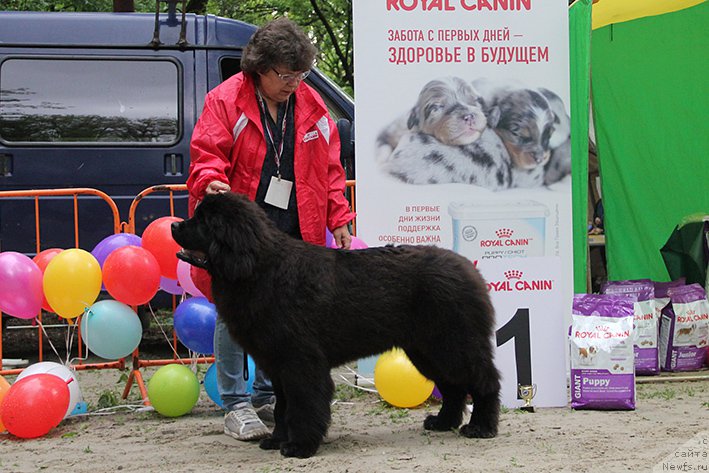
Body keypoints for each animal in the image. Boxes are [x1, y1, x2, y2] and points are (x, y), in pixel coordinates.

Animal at [169, 192, 500, 458]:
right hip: (427, 351)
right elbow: (282, 407)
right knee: (454, 387)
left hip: (453, 345)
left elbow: (302, 406)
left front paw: (299, 447)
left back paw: (481, 427)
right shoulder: (278, 365)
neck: (259, 269)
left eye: (203, 221)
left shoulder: (300, 362)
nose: (174, 226)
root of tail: (468, 269)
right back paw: (443, 423)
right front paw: (277, 440)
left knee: (483, 380)